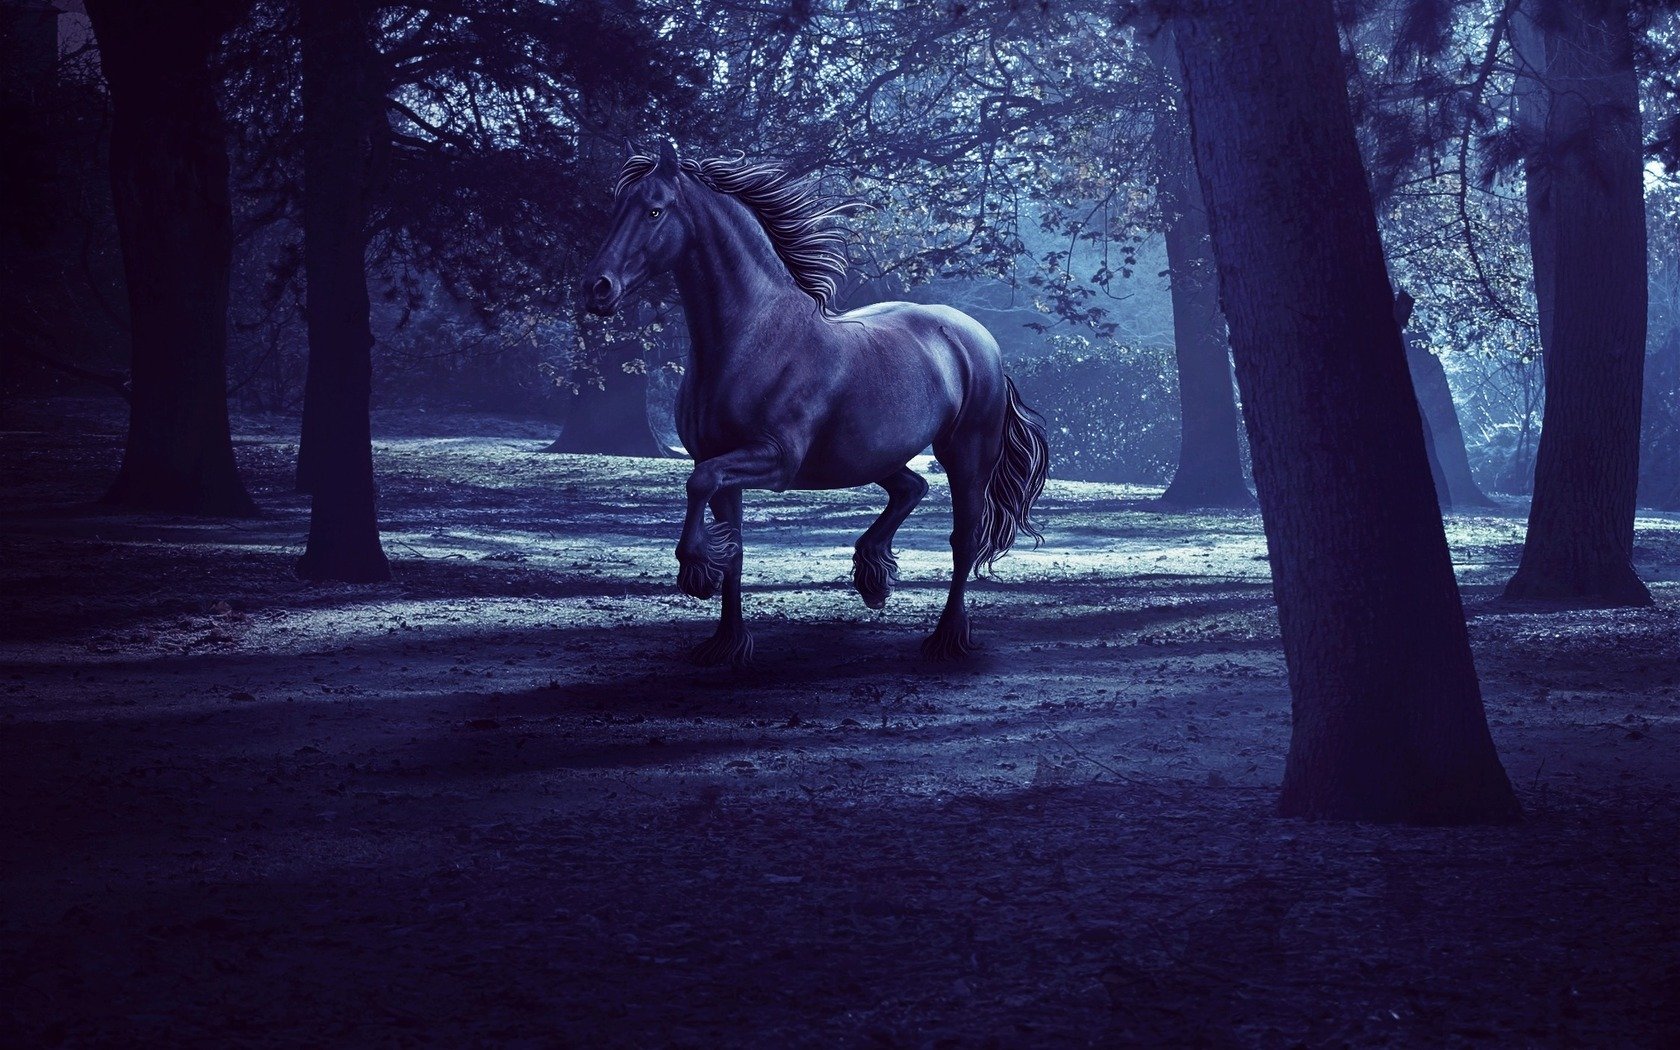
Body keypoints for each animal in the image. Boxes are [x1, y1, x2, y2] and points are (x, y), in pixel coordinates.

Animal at [584, 139, 1041, 661]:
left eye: (655, 209)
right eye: (617, 207)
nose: (596, 288)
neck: (752, 336)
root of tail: (979, 340)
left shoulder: (776, 461)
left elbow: (699, 484)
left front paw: (697, 570)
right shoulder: (720, 459)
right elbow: (733, 541)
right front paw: (726, 643)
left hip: (965, 453)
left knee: (964, 537)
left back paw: (946, 636)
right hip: (870, 454)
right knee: (912, 488)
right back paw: (872, 578)